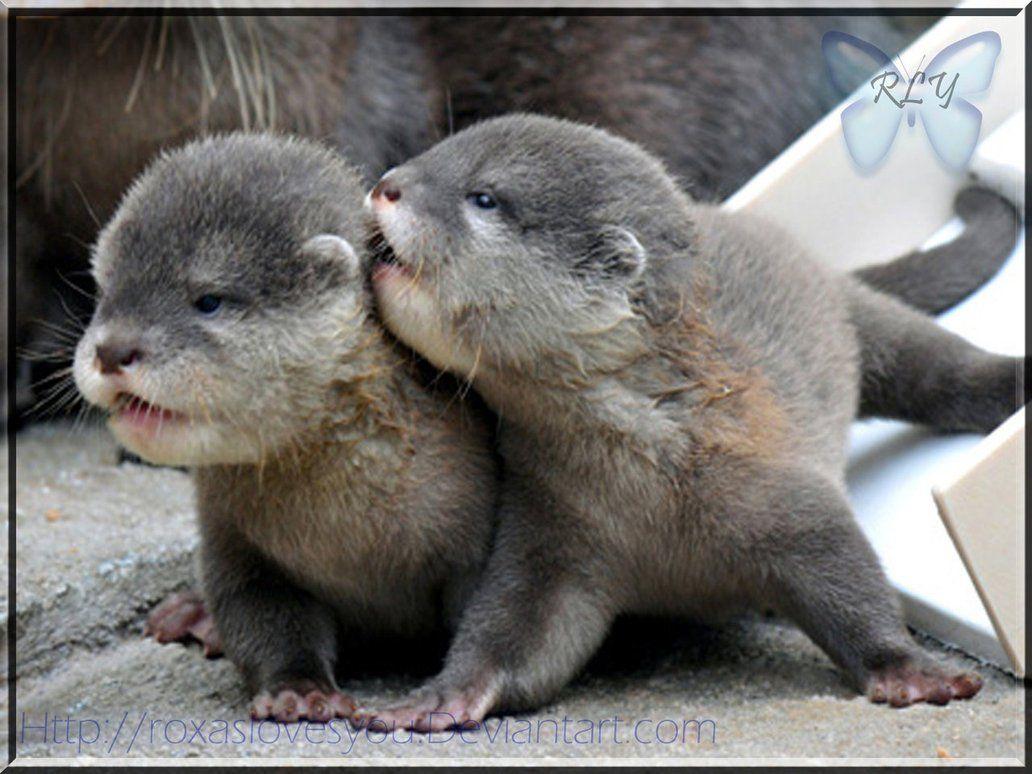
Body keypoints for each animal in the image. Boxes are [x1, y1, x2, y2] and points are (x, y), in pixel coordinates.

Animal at [71, 133, 498, 722]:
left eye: (208, 300)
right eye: (103, 289)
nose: (112, 350)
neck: (350, 531)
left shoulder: (475, 533)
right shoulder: (236, 541)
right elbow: (261, 617)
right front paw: (300, 689)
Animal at [356, 114, 1024, 731]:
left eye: (484, 197)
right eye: (436, 150)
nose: (387, 184)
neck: (657, 472)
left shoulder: (781, 490)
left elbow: (849, 577)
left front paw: (910, 671)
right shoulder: (550, 530)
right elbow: (513, 633)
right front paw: (441, 696)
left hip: (853, 318)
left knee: (938, 365)